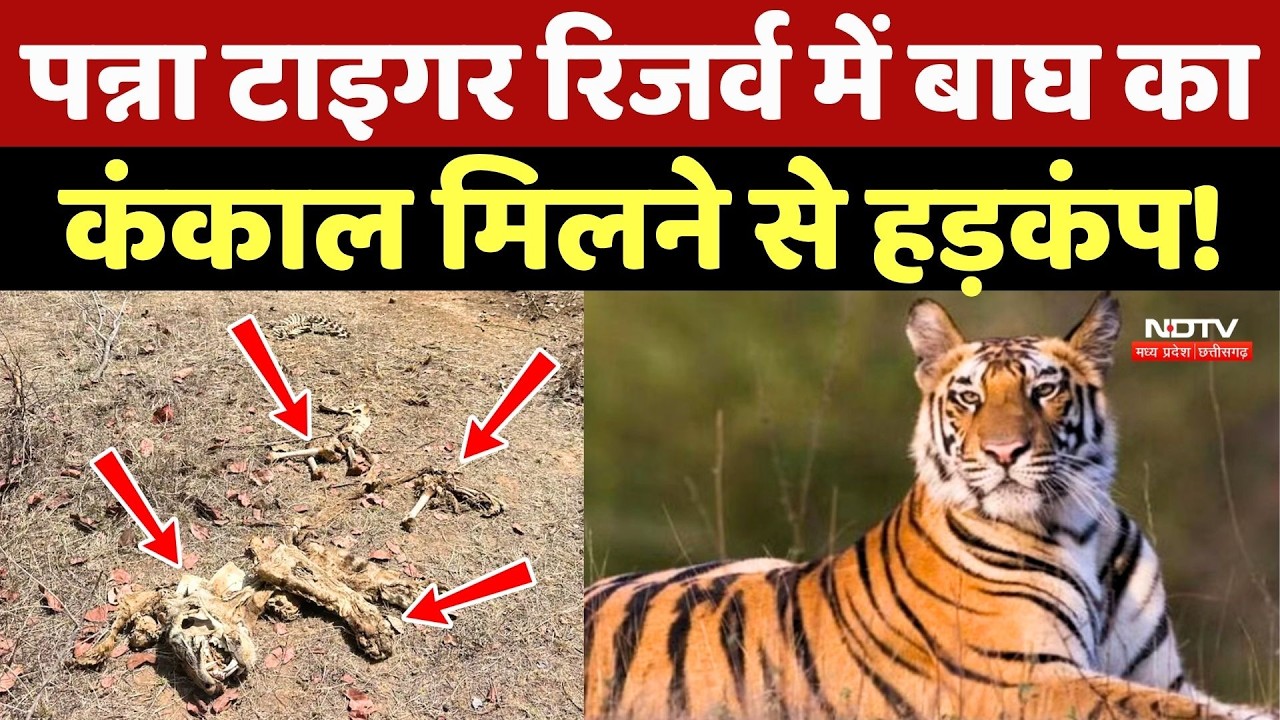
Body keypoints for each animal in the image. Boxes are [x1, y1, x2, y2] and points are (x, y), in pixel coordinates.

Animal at [584, 292, 1278, 720]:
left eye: (1043, 391)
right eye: (969, 397)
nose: (1004, 452)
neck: (1079, 528)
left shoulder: (1157, 672)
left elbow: (1192, 701)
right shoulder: (1024, 681)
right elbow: (1168, 710)